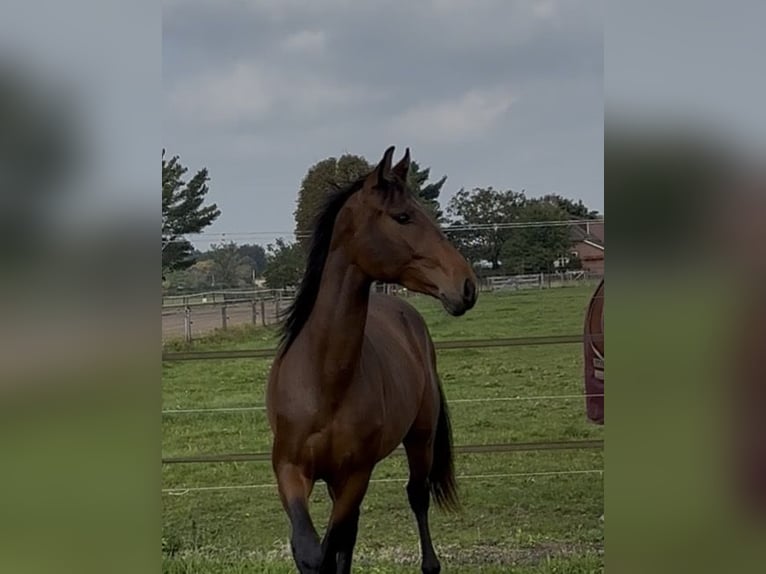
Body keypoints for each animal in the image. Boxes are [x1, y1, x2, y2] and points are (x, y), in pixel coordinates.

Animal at [266, 146, 478, 574]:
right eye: (403, 217)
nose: (467, 285)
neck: (324, 381)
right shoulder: (290, 470)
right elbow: (310, 550)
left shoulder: (355, 475)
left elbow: (333, 545)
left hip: (420, 438)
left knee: (416, 496)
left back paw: (430, 564)